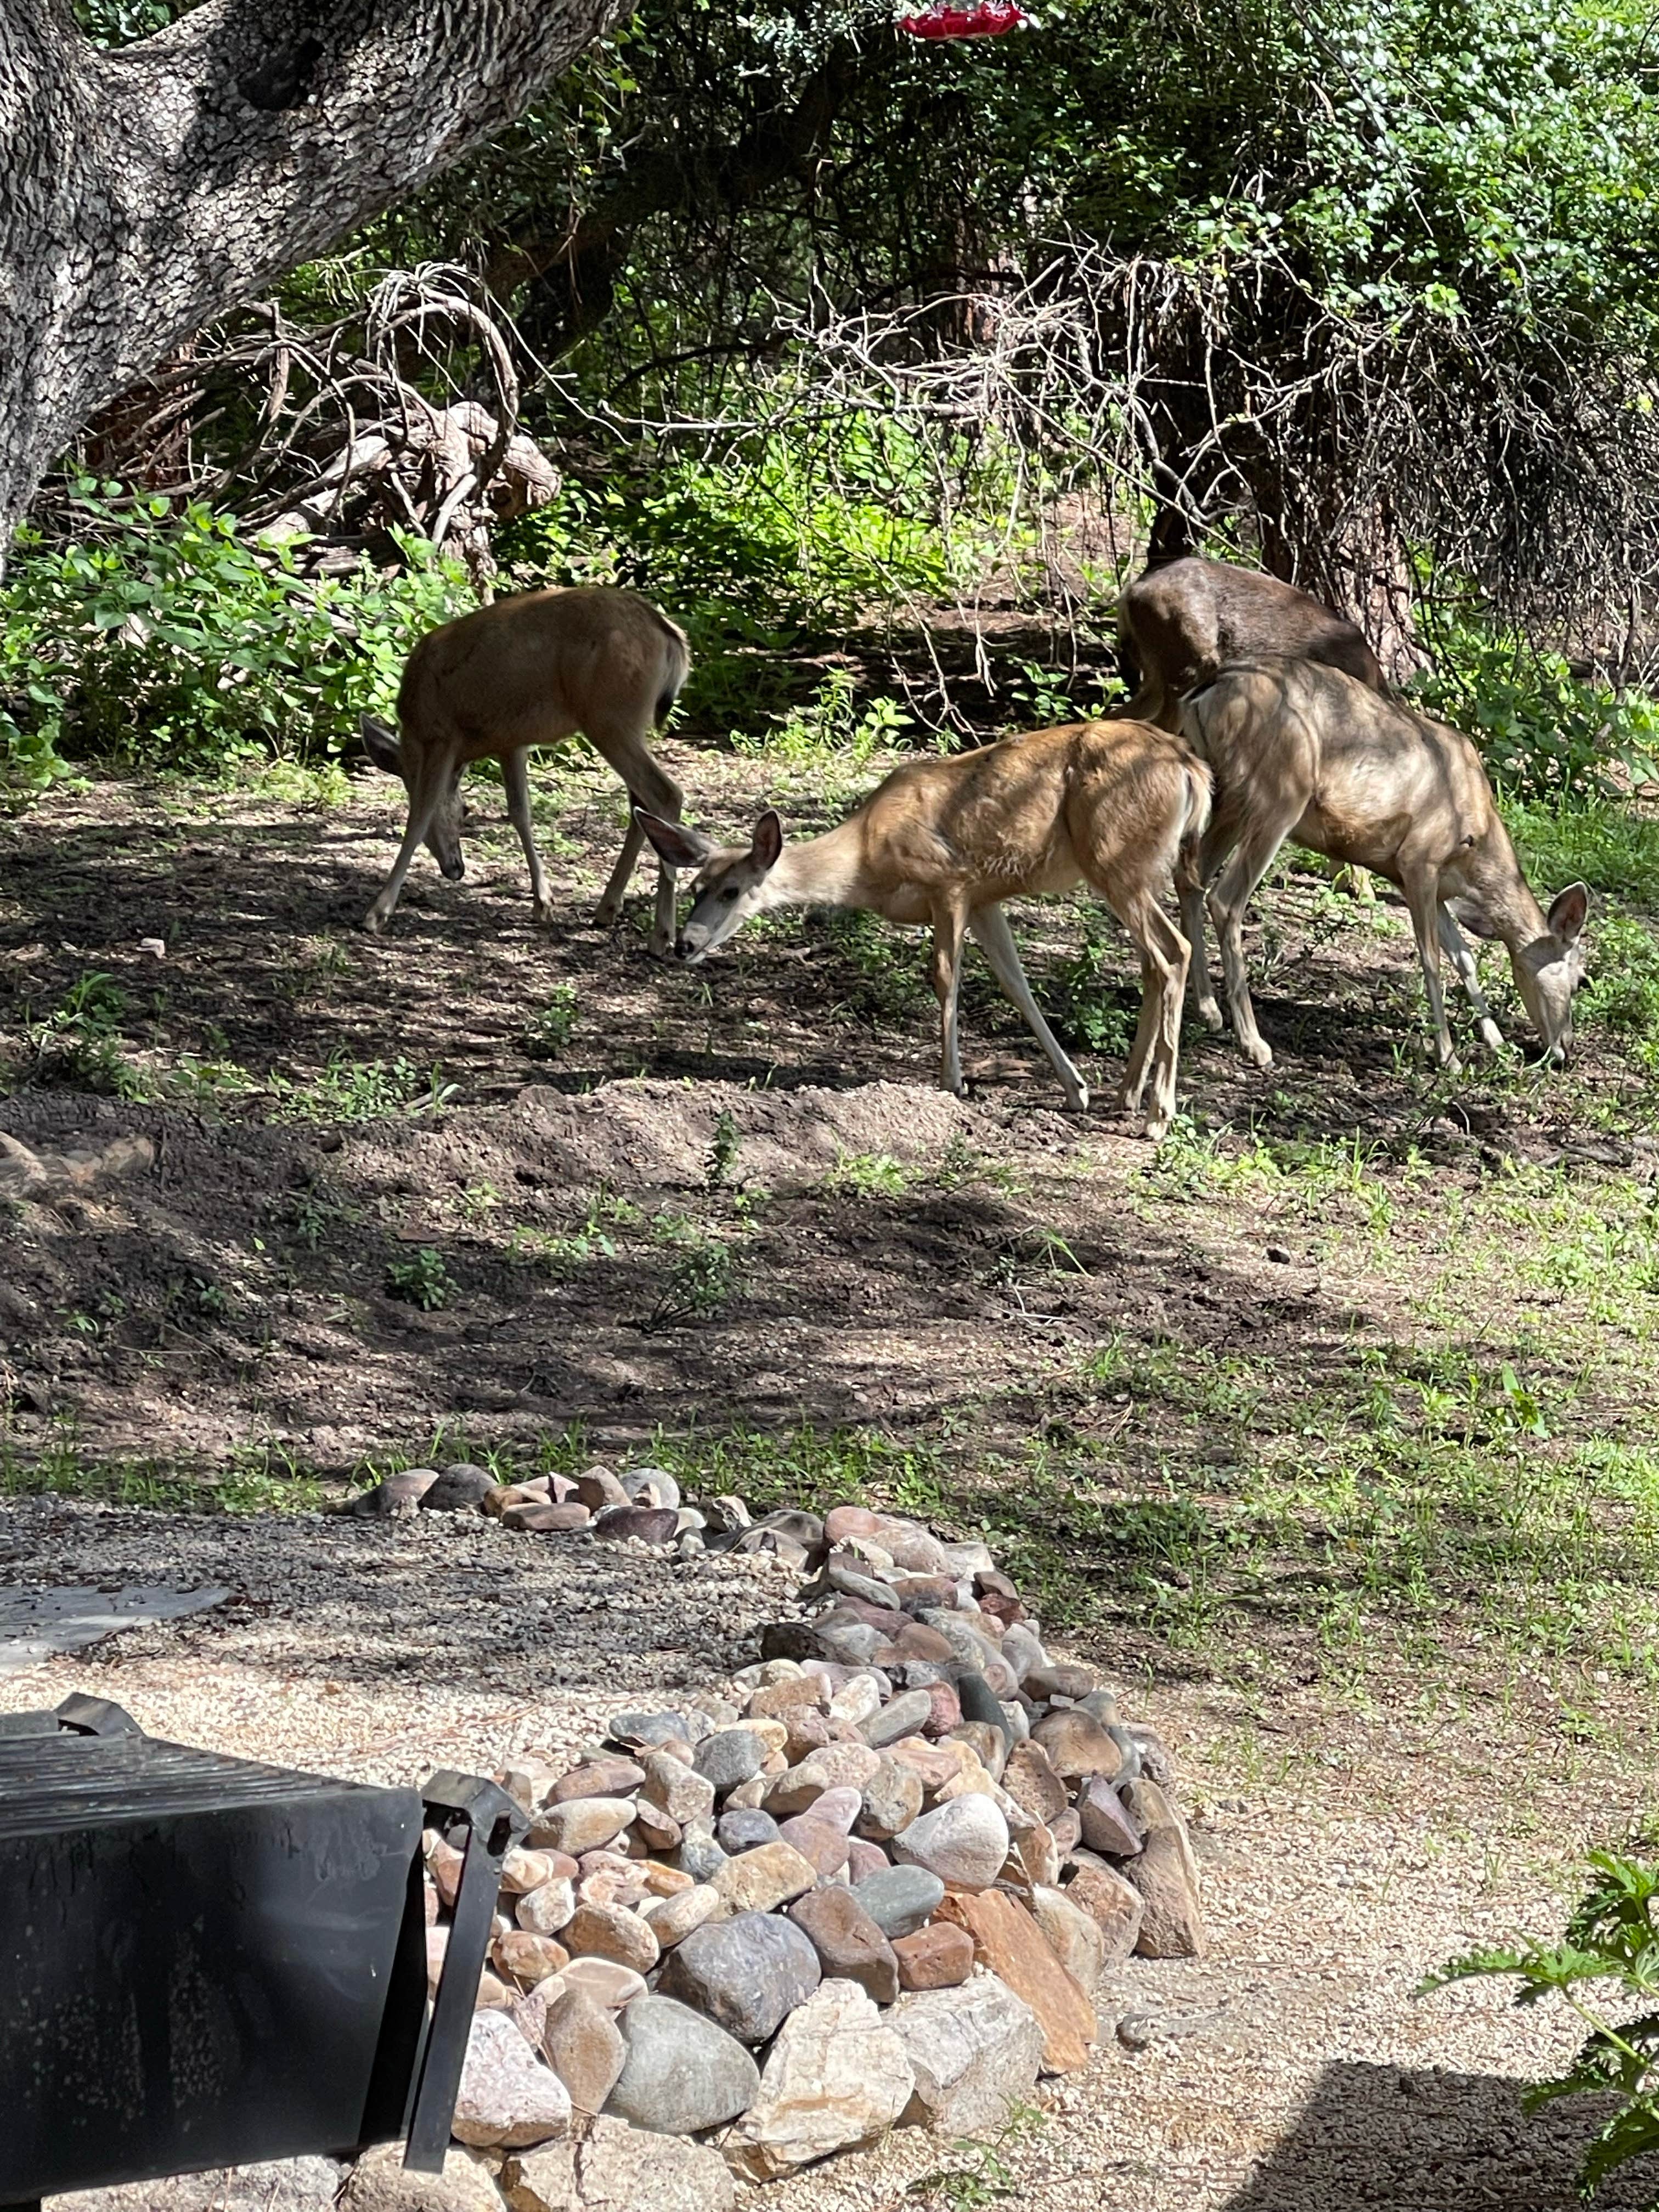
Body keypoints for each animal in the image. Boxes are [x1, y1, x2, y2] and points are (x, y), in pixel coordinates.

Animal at [360, 584, 690, 955]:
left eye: (466, 810)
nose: (455, 869)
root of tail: (672, 637)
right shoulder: (511, 743)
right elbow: (520, 812)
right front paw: (543, 903)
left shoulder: (441, 736)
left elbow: (419, 815)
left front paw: (377, 913)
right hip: (625, 723)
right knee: (640, 801)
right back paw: (607, 909)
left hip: (609, 717)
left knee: (666, 793)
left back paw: (661, 934)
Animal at [633, 716, 1212, 1141]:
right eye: (696, 888)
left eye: (732, 891)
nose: (685, 944)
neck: (867, 858)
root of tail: (1194, 770)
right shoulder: (985, 899)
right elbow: (1016, 984)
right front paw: (1076, 1089)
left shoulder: (949, 881)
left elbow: (945, 977)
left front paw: (951, 1082)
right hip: (1130, 866)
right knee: (1153, 961)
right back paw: (1127, 1094)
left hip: (1115, 858)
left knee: (1173, 952)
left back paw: (1157, 1115)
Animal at [1177, 654, 1593, 1070]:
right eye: (1578, 980)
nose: (1567, 1050)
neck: (1478, 842)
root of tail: (1208, 690)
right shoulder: (1419, 859)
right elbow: (1431, 960)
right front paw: (1448, 1056)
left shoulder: (1434, 886)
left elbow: (1465, 957)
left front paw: (1496, 1041)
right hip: (1278, 793)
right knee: (1225, 898)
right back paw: (1252, 1041)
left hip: (1229, 798)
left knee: (1190, 878)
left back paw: (1208, 1010)